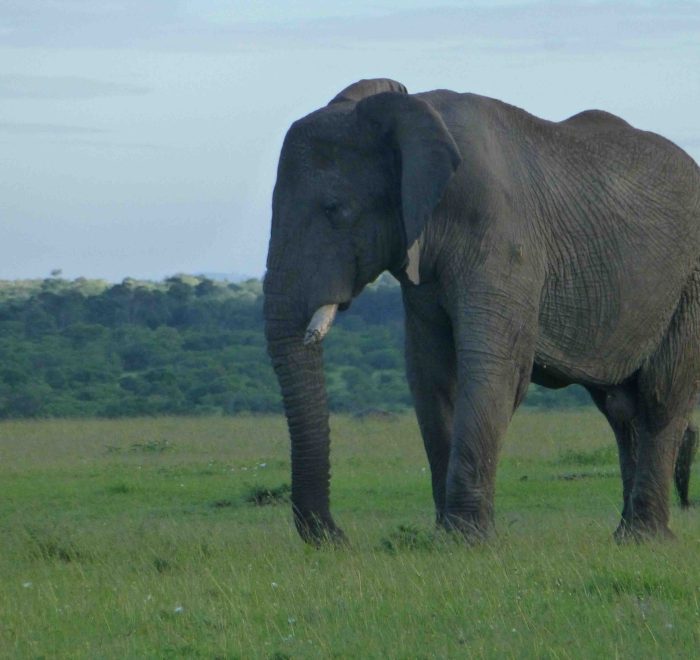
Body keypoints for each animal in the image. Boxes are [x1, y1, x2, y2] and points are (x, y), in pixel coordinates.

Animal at [263, 78, 700, 545]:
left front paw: (465, 540)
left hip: (688, 283)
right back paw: (625, 538)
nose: (338, 537)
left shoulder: (502, 238)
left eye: (334, 210)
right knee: (621, 412)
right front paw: (446, 538)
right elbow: (432, 373)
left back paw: (644, 538)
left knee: (658, 398)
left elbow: (493, 366)